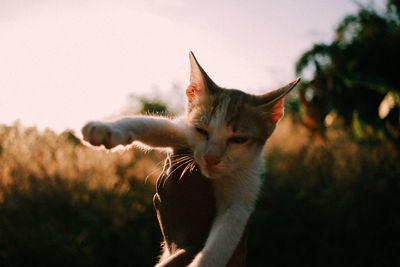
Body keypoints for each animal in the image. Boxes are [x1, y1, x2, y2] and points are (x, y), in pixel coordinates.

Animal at [81, 51, 300, 266]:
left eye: (238, 140)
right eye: (201, 130)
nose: (211, 157)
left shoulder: (241, 198)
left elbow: (219, 245)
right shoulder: (182, 131)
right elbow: (150, 124)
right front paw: (108, 129)